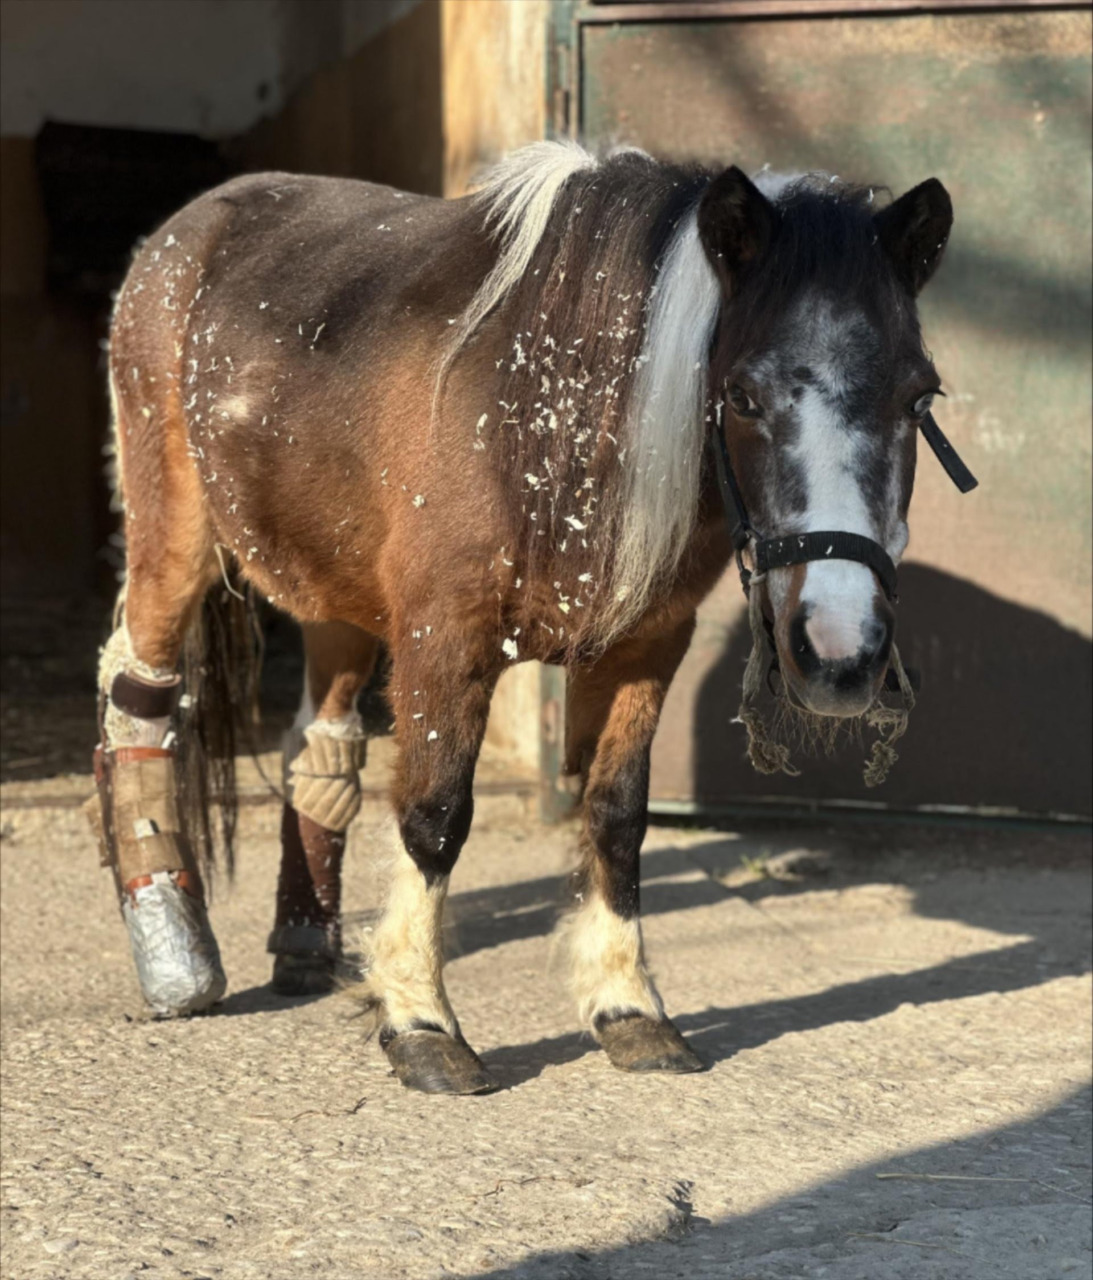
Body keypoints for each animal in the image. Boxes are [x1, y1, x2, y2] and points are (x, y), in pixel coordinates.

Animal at [91, 141, 957, 1094]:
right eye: (741, 397)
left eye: (919, 399)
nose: (840, 656)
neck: (552, 414)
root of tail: (186, 230)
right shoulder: (444, 639)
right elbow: (434, 814)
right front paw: (418, 1020)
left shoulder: (645, 647)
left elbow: (617, 816)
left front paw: (627, 1007)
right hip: (174, 540)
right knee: (137, 693)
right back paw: (175, 953)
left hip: (334, 597)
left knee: (318, 738)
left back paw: (306, 941)